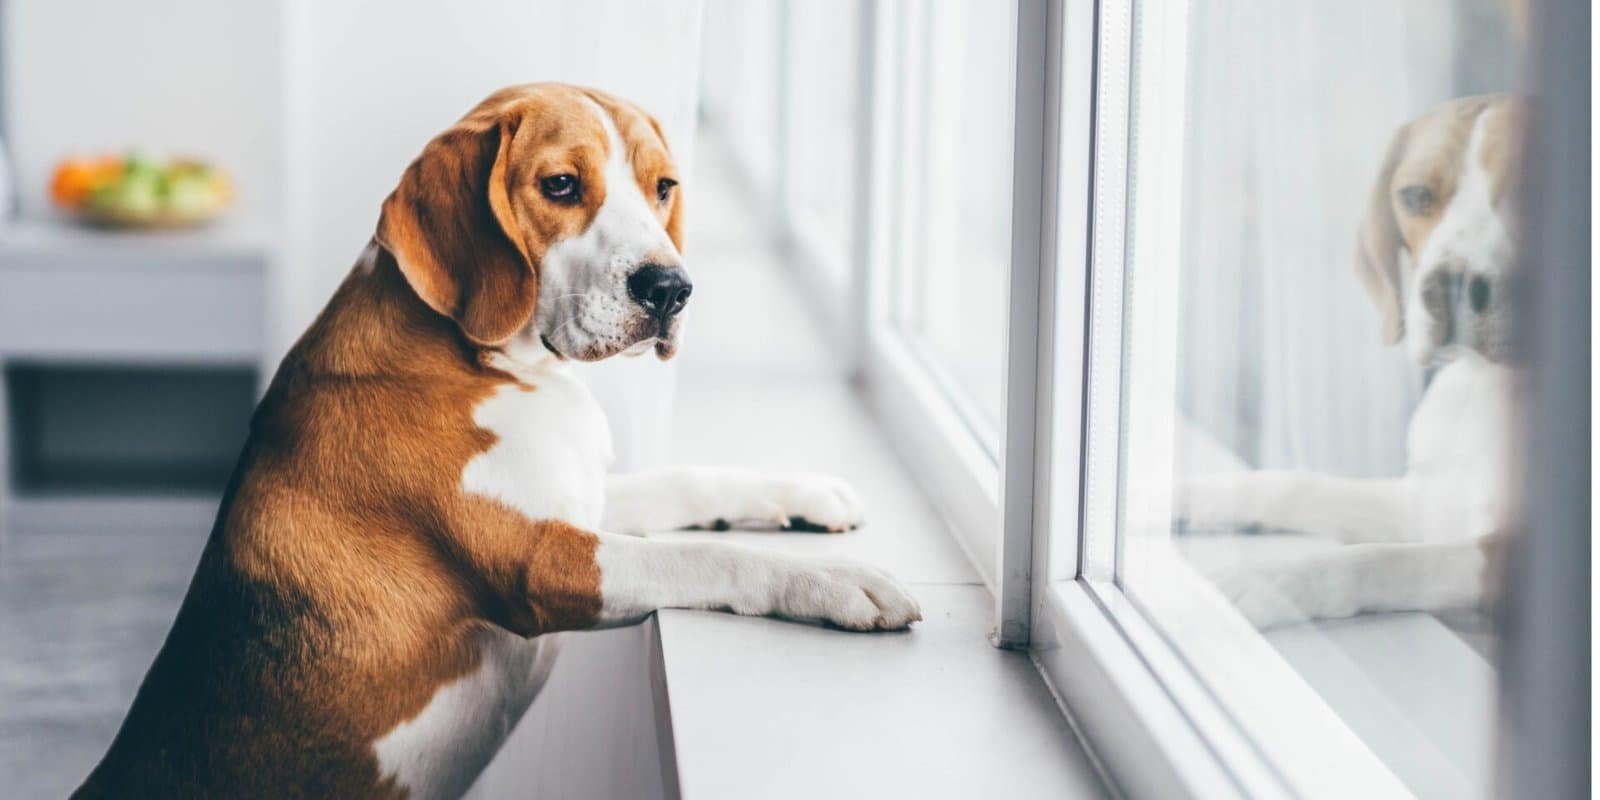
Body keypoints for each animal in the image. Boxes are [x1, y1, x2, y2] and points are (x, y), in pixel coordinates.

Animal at [75, 84, 921, 796]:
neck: (492, 361)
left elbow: (688, 481)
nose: (671, 289)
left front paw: (807, 492)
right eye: (562, 186)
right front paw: (837, 583)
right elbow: (702, 558)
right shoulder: (541, 561)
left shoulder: (582, 499)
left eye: (664, 187)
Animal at [1184, 93, 1529, 627]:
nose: (1447, 287)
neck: (1490, 389)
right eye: (1415, 196)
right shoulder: (1423, 503)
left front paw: (1269, 581)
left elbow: (1386, 560)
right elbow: (1294, 487)